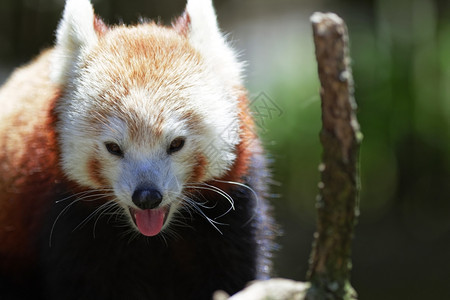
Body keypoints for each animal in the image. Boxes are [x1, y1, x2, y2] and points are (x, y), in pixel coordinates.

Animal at [0, 0, 274, 298]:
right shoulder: (69, 219)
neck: (152, 238)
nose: (147, 197)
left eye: (176, 144)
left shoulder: (232, 209)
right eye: (113, 148)